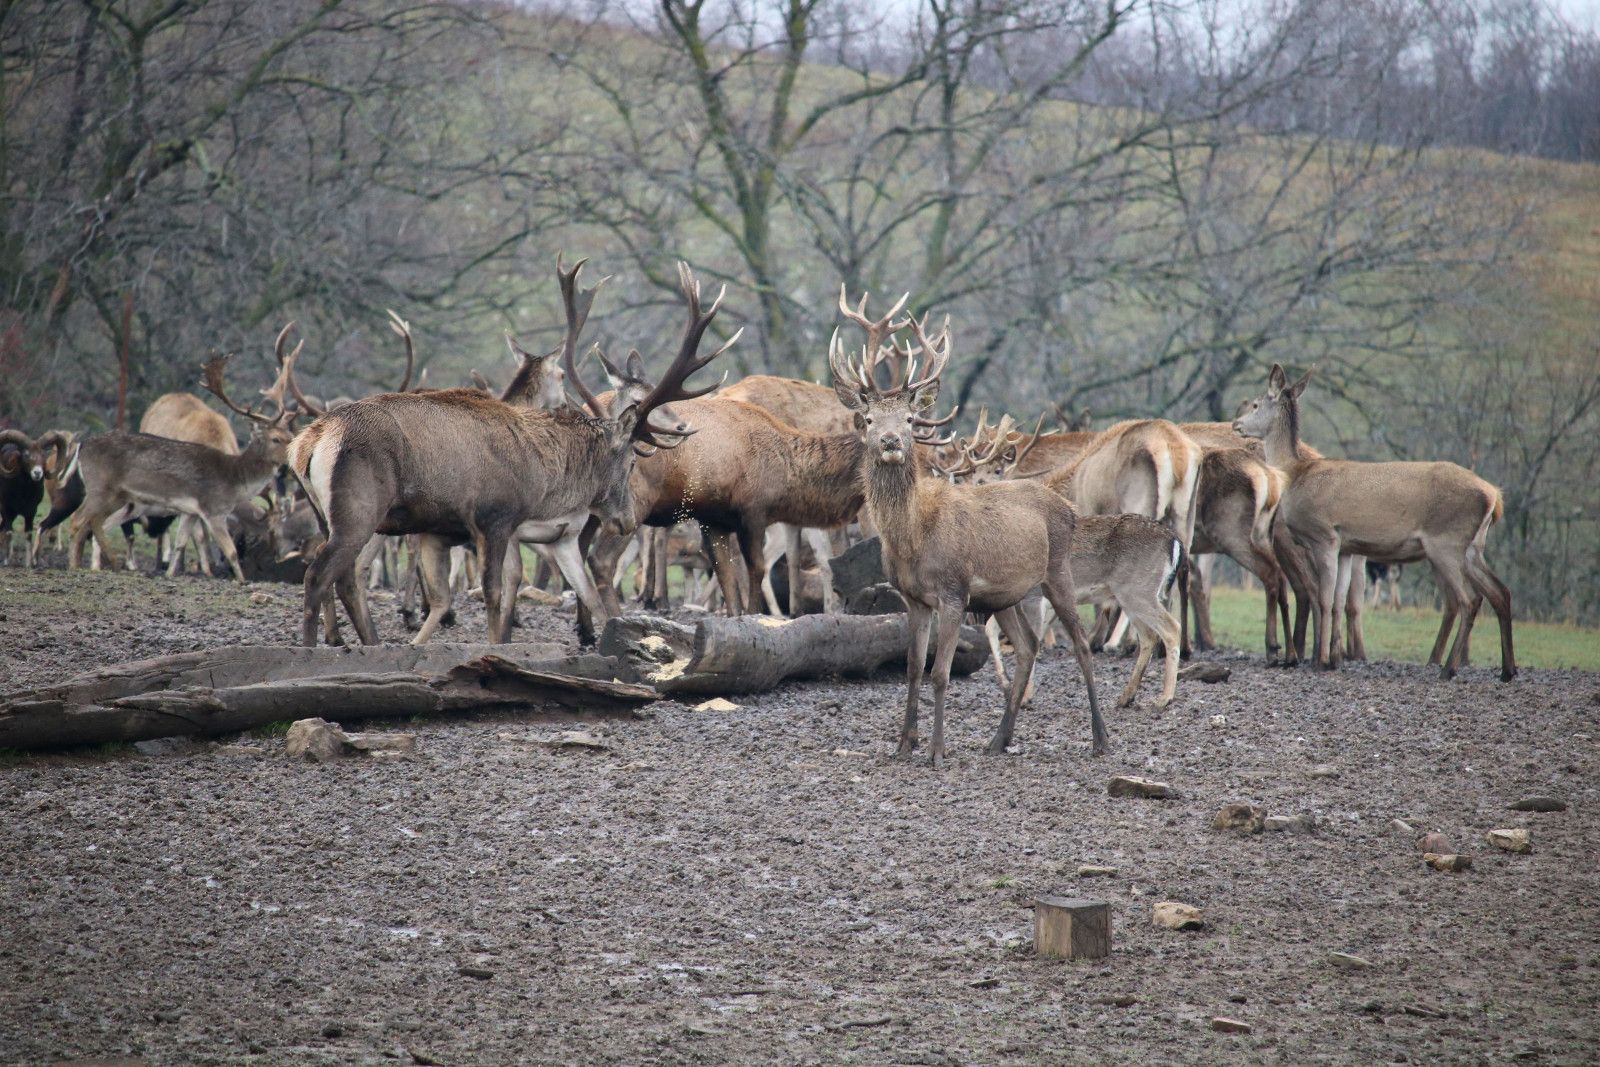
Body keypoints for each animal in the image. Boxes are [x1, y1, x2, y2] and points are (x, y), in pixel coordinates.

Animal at [288, 259, 732, 646]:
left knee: (343, 577)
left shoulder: (466, 532)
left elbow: (582, 595)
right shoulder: (495, 517)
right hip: (359, 510)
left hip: (331, 515)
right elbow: (495, 592)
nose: (625, 520)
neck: (545, 484)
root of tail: (308, 441)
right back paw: (315, 647)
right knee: (320, 574)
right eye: (632, 460)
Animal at [832, 287, 1107, 764]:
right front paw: (903, 745)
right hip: (1007, 595)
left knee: (1081, 644)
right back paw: (999, 739)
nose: (890, 441)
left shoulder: (953, 591)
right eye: (869, 419)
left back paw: (1101, 738)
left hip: (1058, 570)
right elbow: (912, 669)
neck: (912, 537)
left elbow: (940, 673)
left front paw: (937, 750)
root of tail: (1069, 509)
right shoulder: (913, 599)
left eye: (908, 419)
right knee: (1029, 645)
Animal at [1228, 363, 1516, 681]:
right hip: (1474, 546)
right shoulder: (1346, 547)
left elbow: (1324, 599)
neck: (1294, 474)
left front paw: (1320, 661)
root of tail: (1494, 497)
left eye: (1256, 404)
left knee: (1469, 600)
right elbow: (1340, 601)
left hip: (1447, 541)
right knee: (1500, 592)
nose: (1235, 424)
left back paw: (1449, 669)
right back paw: (1507, 670)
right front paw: (1334, 659)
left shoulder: (1324, 535)